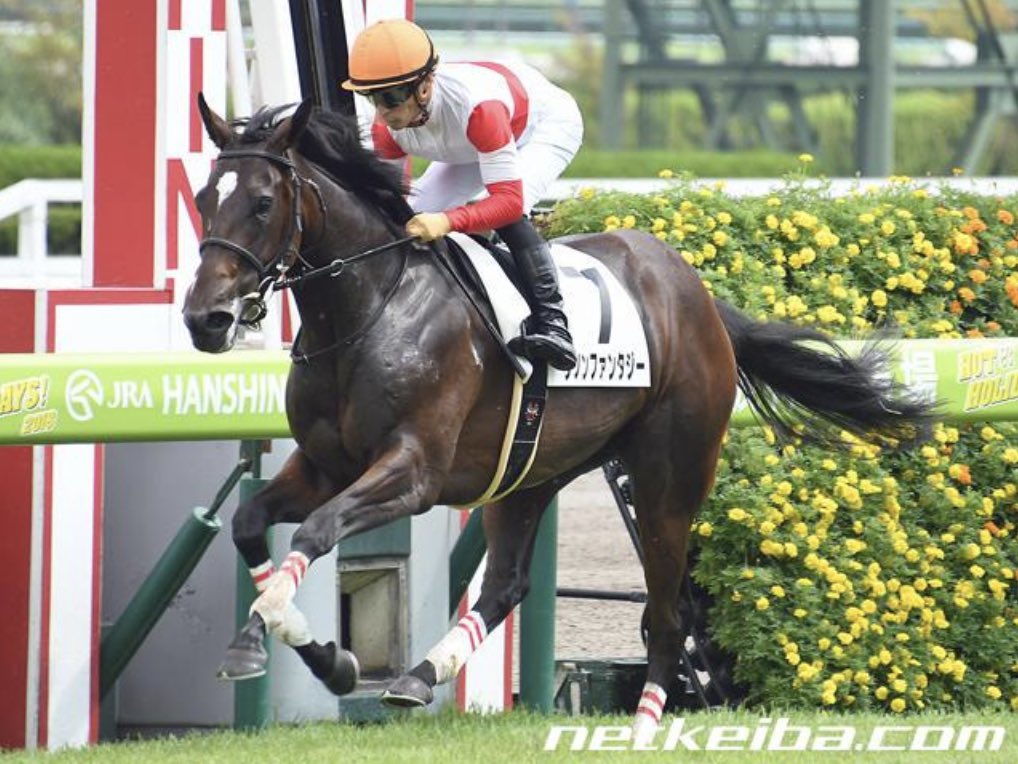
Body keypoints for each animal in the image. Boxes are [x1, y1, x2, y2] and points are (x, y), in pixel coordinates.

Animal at [182, 96, 933, 736]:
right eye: (202, 199)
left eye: (262, 203)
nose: (205, 319)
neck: (371, 307)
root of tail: (698, 297)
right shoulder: (324, 464)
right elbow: (251, 525)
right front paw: (318, 657)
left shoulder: (412, 471)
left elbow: (315, 530)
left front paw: (269, 645)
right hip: (531, 471)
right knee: (506, 584)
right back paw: (422, 676)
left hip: (668, 480)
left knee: (668, 614)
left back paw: (645, 721)